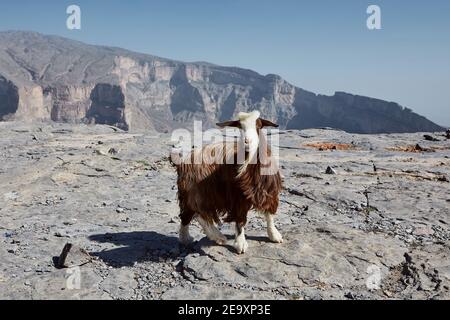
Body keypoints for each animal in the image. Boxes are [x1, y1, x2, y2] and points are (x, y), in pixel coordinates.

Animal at [171, 111, 282, 254]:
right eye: (240, 127)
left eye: (258, 126)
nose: (247, 142)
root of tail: (183, 163)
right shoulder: (237, 197)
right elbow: (240, 220)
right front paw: (240, 244)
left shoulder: (268, 192)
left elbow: (269, 215)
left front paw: (274, 235)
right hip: (199, 192)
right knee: (195, 213)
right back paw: (212, 236)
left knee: (193, 214)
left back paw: (194, 238)